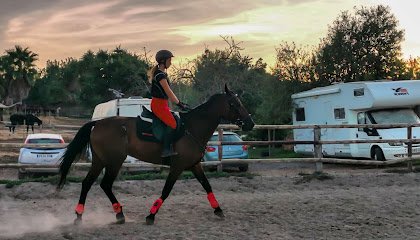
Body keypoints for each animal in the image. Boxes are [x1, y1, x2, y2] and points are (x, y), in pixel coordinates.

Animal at [57, 84, 254, 225]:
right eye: (235, 104)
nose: (250, 123)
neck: (192, 128)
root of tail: (97, 124)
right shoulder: (178, 166)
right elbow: (166, 190)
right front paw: (151, 216)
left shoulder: (195, 165)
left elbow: (207, 186)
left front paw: (218, 210)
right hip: (114, 161)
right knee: (105, 184)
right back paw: (118, 214)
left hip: (100, 161)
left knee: (88, 183)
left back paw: (80, 216)